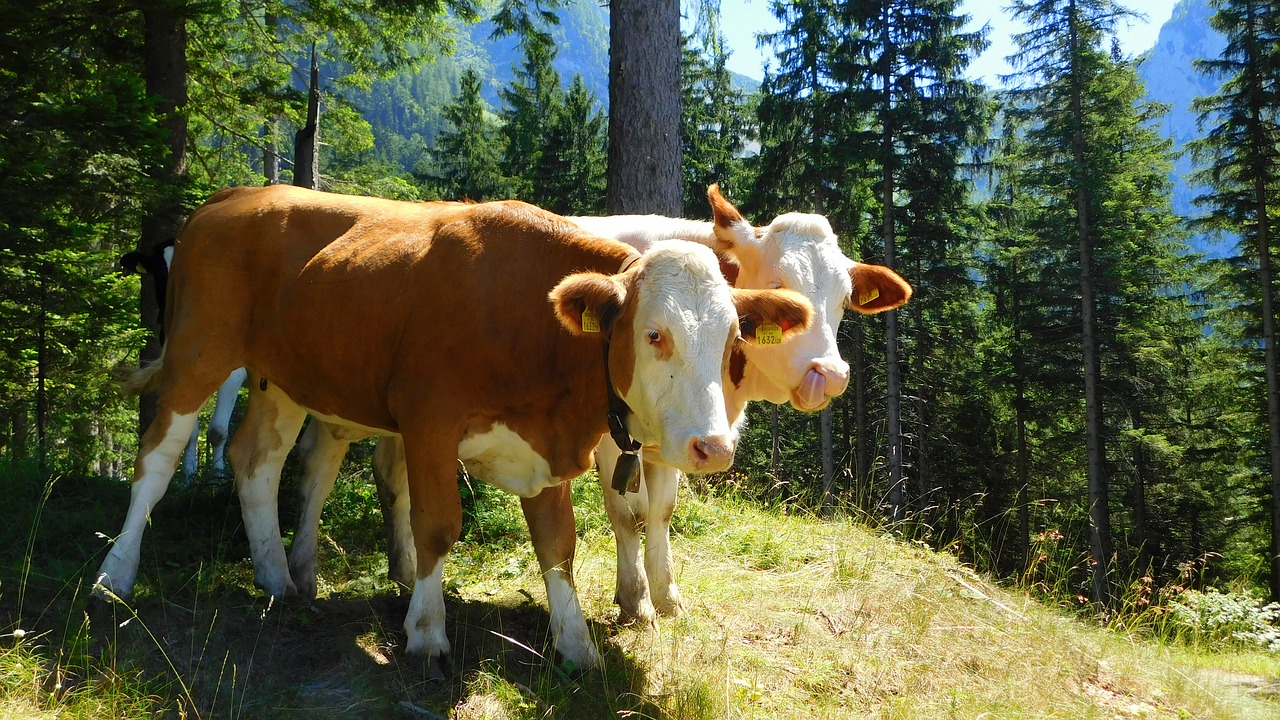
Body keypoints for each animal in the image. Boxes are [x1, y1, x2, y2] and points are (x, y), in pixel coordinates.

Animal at [94, 183, 808, 666]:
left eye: (732, 341)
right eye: (655, 335)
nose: (713, 447)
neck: (530, 323)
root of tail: (235, 195)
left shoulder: (547, 443)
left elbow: (558, 545)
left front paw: (576, 645)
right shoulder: (428, 422)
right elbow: (436, 525)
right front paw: (427, 630)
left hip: (284, 378)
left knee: (257, 462)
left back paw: (276, 578)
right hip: (197, 351)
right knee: (156, 460)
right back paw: (114, 577)